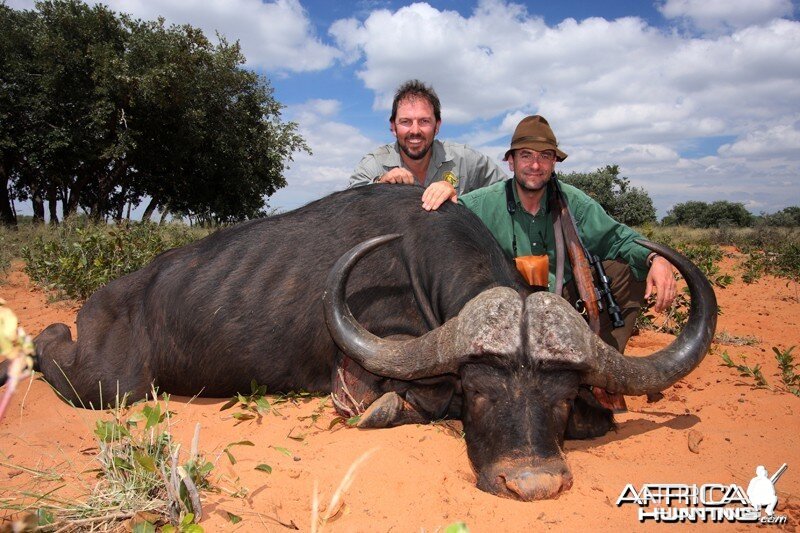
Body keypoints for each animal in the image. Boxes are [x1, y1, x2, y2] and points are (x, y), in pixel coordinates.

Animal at [7, 183, 720, 498]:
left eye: (564, 398)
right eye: (480, 391)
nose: (532, 482)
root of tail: (112, 294)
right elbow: (409, 398)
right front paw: (381, 405)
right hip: (109, 383)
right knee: (58, 354)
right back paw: (36, 336)